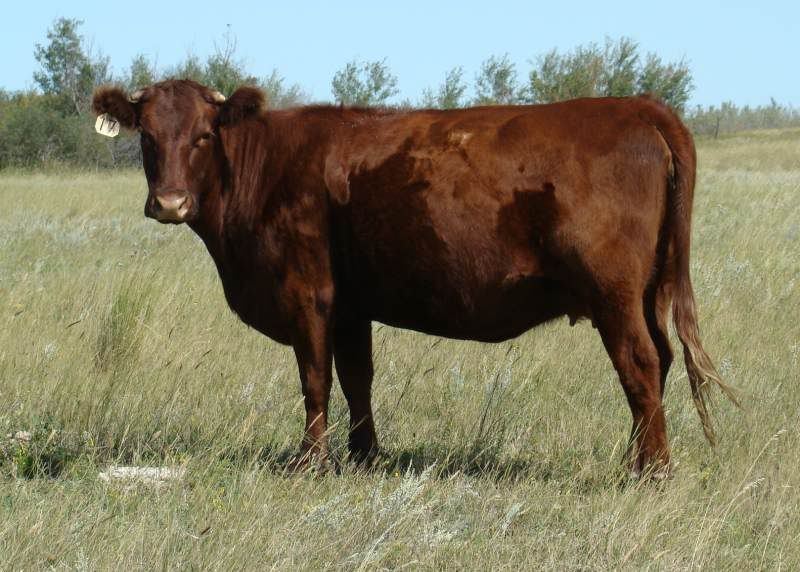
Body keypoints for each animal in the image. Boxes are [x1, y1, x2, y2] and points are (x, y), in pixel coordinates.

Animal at [92, 79, 736, 477]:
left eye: (204, 135)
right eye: (147, 136)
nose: (169, 203)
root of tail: (635, 106)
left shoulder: (308, 293)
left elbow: (314, 379)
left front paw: (310, 463)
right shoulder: (351, 304)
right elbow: (357, 379)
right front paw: (364, 457)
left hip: (614, 292)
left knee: (640, 364)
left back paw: (652, 473)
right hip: (647, 291)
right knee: (659, 361)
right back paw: (635, 461)